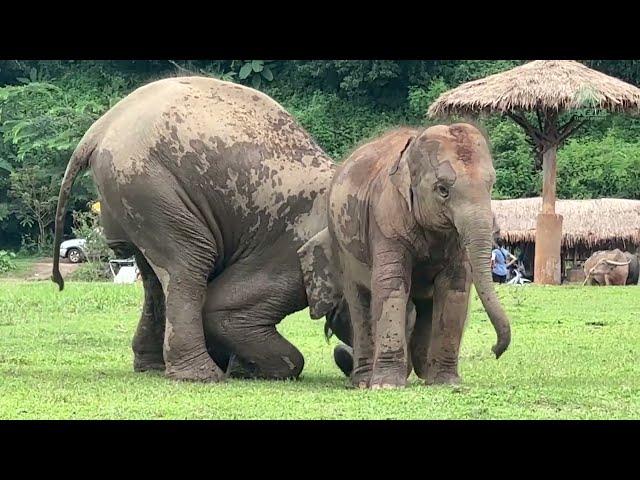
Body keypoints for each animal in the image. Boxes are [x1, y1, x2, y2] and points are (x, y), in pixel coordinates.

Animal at [53, 75, 344, 382]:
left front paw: (239, 366)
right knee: (191, 261)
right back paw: (203, 376)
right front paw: (246, 369)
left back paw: (155, 367)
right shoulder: (289, 252)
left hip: (134, 193)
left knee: (153, 276)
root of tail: (98, 129)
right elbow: (224, 308)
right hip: (150, 185)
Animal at [298, 124, 512, 390]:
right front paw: (387, 385)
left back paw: (423, 370)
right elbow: (391, 284)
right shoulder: (386, 218)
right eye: (443, 190)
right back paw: (363, 381)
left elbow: (455, 286)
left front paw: (446, 382)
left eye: (491, 185)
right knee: (359, 301)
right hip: (342, 247)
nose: (495, 350)